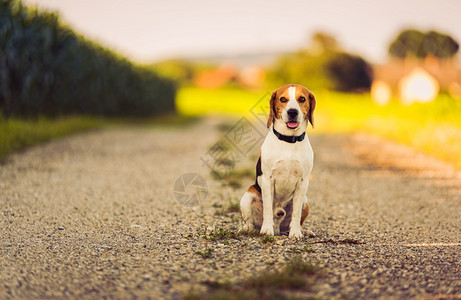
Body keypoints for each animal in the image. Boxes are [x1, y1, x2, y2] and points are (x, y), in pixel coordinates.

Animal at [239, 84, 314, 239]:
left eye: (302, 99)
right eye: (283, 99)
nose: (292, 112)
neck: (289, 140)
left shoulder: (303, 182)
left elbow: (296, 213)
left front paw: (296, 233)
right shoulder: (267, 179)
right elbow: (268, 208)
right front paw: (267, 230)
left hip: (306, 201)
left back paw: (303, 231)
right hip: (248, 195)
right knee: (250, 222)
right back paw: (248, 229)